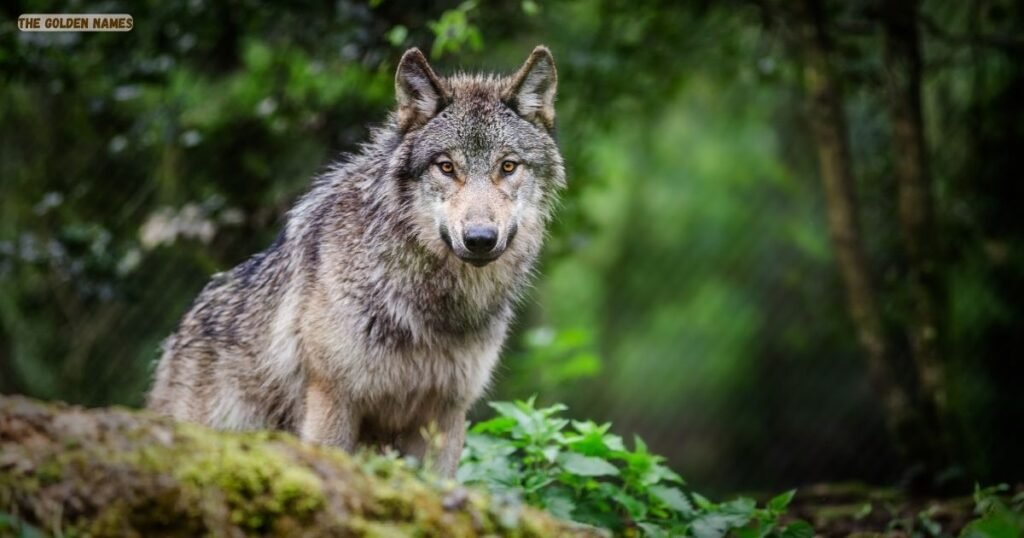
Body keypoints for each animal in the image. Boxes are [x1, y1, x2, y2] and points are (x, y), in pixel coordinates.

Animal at [147, 46, 564, 476]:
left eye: (508, 166)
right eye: (446, 167)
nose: (480, 239)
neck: (430, 307)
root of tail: (180, 332)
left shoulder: (446, 415)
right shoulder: (332, 400)